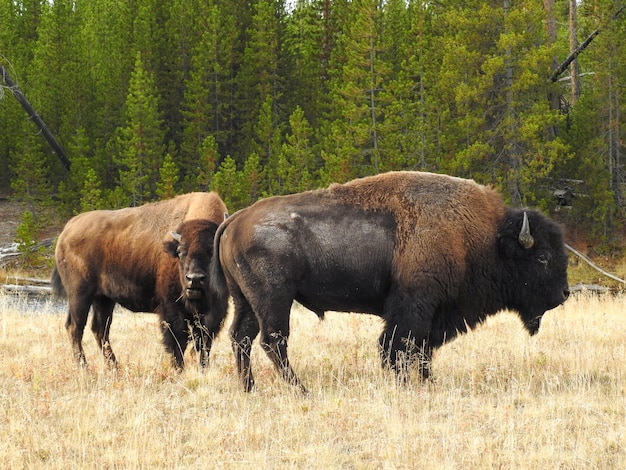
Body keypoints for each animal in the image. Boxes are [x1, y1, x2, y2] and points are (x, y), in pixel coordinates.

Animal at [51, 193, 227, 370]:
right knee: (75, 327)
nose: (194, 279)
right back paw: (84, 367)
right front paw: (179, 369)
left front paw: (203, 369)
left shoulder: (214, 312)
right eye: (180, 252)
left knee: (100, 329)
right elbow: (178, 341)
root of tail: (67, 229)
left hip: (103, 299)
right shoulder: (172, 309)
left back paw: (114, 367)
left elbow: (204, 343)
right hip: (79, 294)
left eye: (212, 251)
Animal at [210, 171, 572, 392]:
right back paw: (301, 391)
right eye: (543, 257)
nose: (564, 293)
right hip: (274, 299)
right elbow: (398, 347)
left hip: (245, 301)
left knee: (241, 338)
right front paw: (404, 384)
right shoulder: (413, 306)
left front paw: (427, 383)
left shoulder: (435, 314)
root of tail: (236, 219)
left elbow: (423, 350)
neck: (483, 237)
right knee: (273, 341)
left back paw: (250, 388)